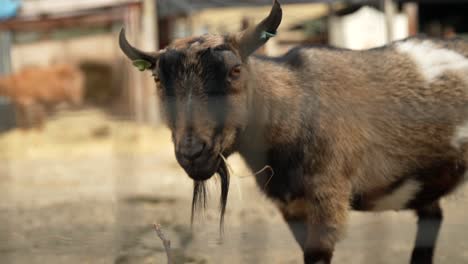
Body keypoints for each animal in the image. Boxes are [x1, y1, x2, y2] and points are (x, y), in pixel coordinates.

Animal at [119, 1, 468, 262]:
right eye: (158, 80)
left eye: (235, 70)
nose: (193, 153)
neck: (294, 105)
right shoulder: (291, 207)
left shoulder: (328, 197)